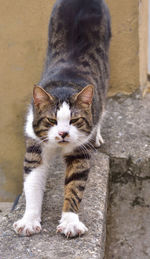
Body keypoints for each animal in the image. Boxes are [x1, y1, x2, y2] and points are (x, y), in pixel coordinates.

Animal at [12, 0, 110, 239]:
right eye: (50, 120)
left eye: (74, 121)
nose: (63, 133)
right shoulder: (35, 145)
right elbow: (32, 183)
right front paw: (29, 220)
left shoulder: (80, 150)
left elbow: (75, 185)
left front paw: (70, 222)